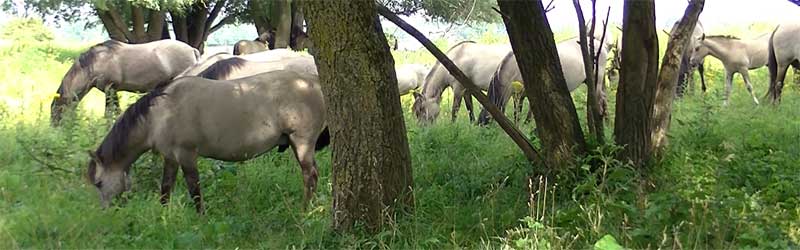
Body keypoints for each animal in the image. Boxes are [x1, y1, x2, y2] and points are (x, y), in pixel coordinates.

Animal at [51, 40, 198, 126]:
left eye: (56, 110)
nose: (54, 129)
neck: (96, 62)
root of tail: (192, 49)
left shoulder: (110, 89)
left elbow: (109, 112)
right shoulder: (113, 90)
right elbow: (115, 111)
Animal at [86, 70, 326, 213]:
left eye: (99, 183)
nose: (107, 211)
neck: (161, 112)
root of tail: (313, 82)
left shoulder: (186, 155)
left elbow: (194, 189)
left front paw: (201, 217)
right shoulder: (171, 157)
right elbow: (166, 187)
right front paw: (163, 215)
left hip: (302, 143)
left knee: (310, 176)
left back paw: (305, 210)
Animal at [476, 36, 612, 125]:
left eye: (485, 121)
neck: (514, 67)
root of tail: (602, 45)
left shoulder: (523, 93)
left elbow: (521, 112)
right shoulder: (522, 94)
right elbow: (523, 110)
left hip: (597, 80)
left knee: (600, 99)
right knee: (603, 98)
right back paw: (606, 121)